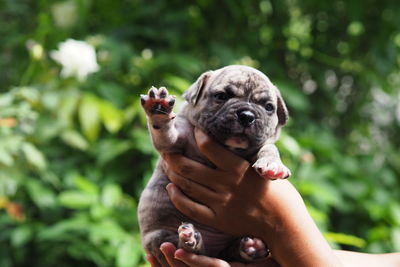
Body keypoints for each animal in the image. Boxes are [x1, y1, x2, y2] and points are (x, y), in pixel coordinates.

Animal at [139, 65, 290, 267]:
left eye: (268, 107)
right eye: (221, 96)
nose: (247, 116)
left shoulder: (258, 146)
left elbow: (269, 147)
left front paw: (273, 164)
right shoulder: (174, 141)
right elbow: (164, 132)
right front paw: (159, 110)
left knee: (229, 252)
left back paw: (249, 248)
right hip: (159, 236)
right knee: (182, 247)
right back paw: (191, 239)